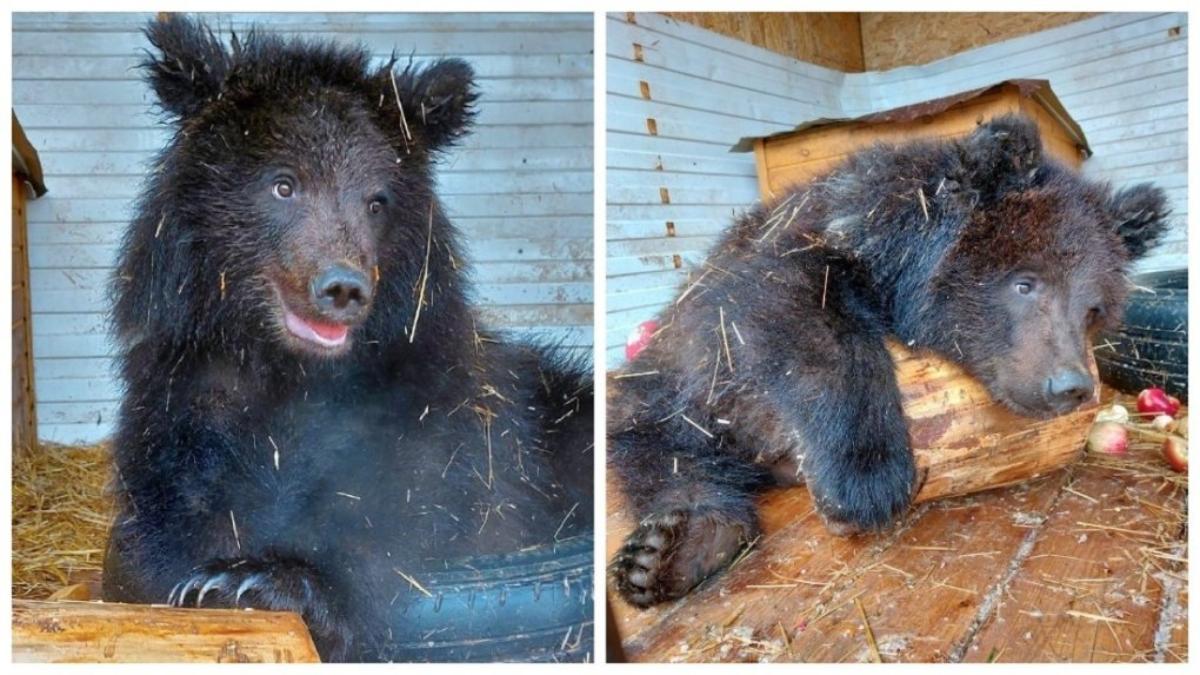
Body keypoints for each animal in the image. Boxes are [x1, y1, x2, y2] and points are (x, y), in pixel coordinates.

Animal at [103, 17, 595, 662]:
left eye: (376, 201)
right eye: (283, 185)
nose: (342, 286)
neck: (290, 368)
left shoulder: (431, 401)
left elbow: (401, 498)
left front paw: (261, 578)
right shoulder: (184, 390)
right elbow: (169, 509)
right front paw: (197, 570)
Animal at [609, 115, 1161, 605]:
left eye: (1092, 308)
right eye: (1025, 283)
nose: (1069, 385)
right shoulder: (787, 258)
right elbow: (803, 319)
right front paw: (863, 480)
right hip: (675, 374)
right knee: (655, 440)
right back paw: (675, 546)